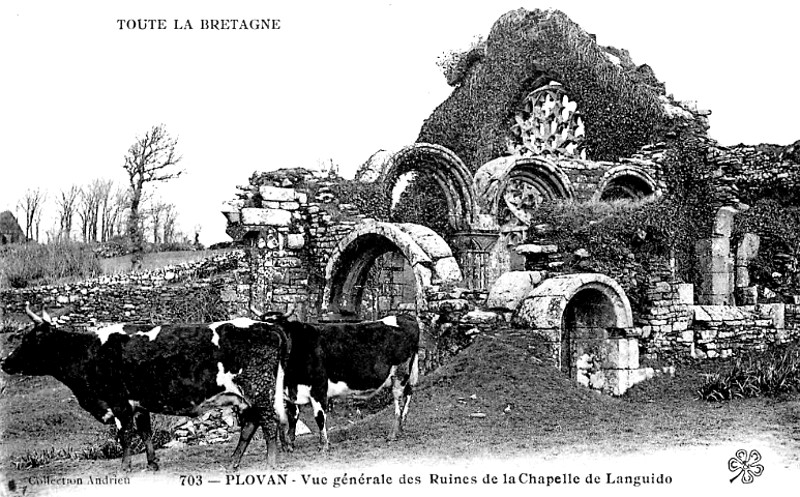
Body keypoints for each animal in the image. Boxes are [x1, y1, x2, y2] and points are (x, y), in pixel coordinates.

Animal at [0, 302, 288, 468]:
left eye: (29, 340)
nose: (5, 363)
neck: (89, 352)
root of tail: (265, 324)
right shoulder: (139, 403)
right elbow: (145, 433)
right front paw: (152, 464)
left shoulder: (119, 401)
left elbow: (125, 435)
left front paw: (124, 468)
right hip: (247, 397)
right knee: (250, 426)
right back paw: (233, 463)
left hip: (258, 390)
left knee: (269, 424)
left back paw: (270, 464)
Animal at [255, 306, 418, 450]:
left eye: (280, 328)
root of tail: (405, 316)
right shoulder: (290, 391)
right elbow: (292, 416)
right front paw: (289, 444)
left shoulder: (318, 387)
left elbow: (319, 417)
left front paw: (324, 445)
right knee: (409, 394)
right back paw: (401, 427)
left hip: (400, 374)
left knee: (399, 400)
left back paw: (393, 434)